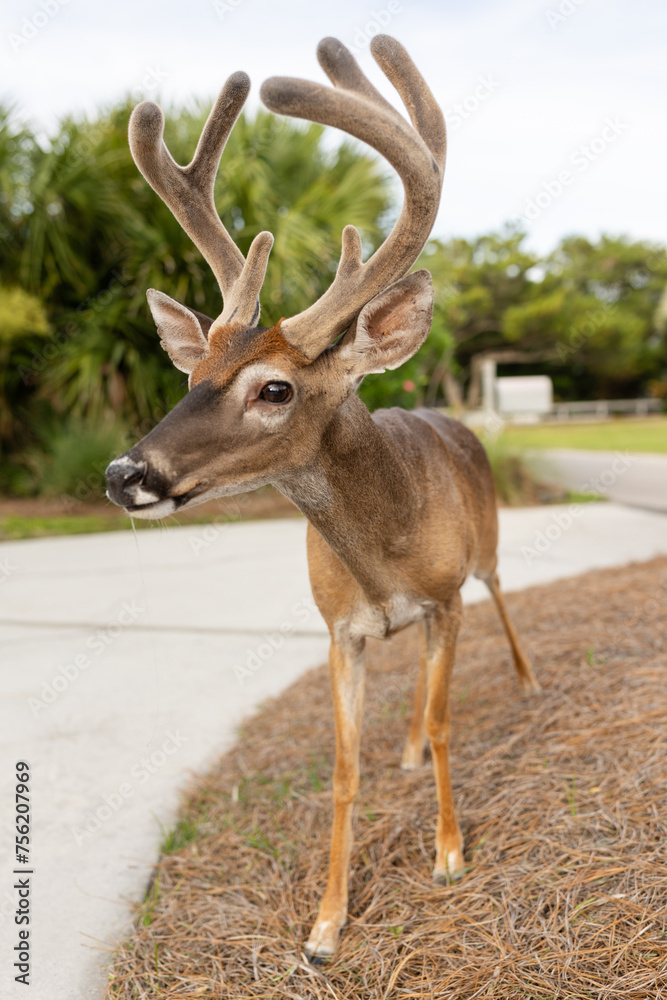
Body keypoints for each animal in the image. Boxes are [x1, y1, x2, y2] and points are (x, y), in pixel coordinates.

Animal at [105, 34, 540, 962]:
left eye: (274, 389)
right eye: (190, 377)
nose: (126, 474)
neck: (383, 555)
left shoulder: (444, 596)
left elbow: (448, 722)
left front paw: (449, 854)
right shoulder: (340, 628)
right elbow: (344, 767)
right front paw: (326, 925)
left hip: (484, 552)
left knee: (500, 598)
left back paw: (522, 683)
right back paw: (403, 748)